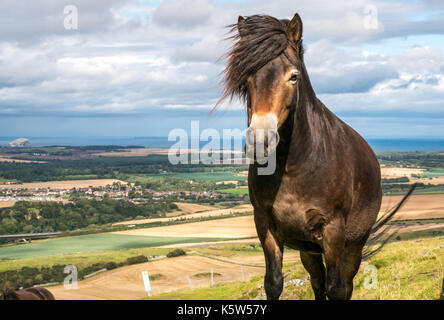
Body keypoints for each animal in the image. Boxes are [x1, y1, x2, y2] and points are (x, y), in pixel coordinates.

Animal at [219, 14, 416, 300]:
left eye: (293, 77)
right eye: (245, 79)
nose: (259, 141)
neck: (294, 168)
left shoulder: (333, 231)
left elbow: (336, 288)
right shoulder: (265, 225)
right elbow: (274, 283)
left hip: (353, 246)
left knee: (345, 284)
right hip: (308, 249)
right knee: (316, 281)